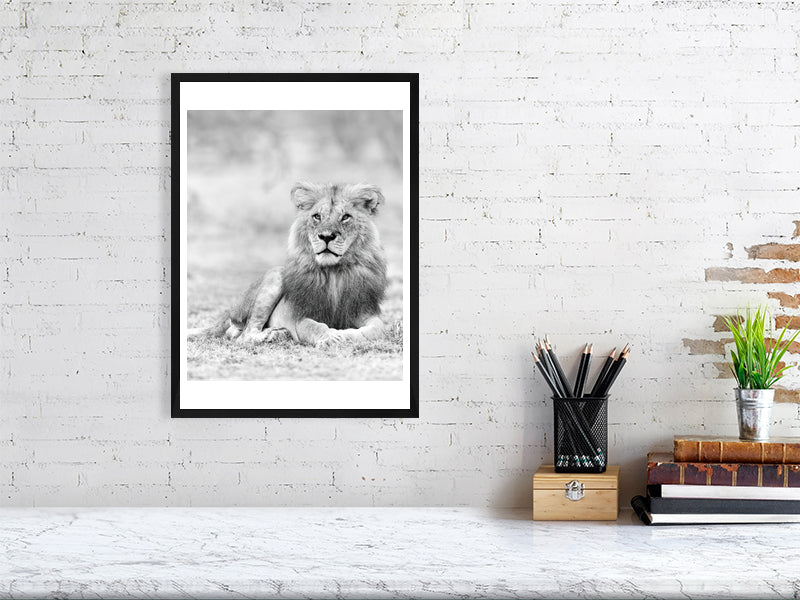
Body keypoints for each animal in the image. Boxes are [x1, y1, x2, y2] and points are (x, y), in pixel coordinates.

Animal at [187, 182, 389, 348]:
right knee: (244, 335)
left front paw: (345, 334)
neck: (334, 273)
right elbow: (315, 326)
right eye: (317, 217)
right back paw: (272, 335)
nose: (326, 236)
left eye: (346, 217)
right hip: (276, 276)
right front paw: (330, 336)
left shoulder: (363, 309)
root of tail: (229, 311)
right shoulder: (301, 316)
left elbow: (377, 328)